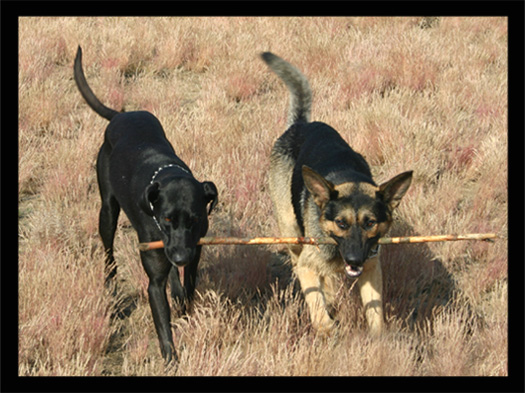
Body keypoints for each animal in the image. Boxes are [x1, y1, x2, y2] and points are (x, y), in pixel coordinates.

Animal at [72, 46, 216, 362]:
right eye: (166, 220)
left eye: (196, 219)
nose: (180, 257)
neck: (166, 172)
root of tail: (120, 117)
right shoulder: (155, 278)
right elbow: (163, 324)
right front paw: (171, 360)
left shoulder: (194, 249)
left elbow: (189, 286)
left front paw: (184, 306)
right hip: (107, 210)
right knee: (108, 251)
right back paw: (111, 286)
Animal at [260, 52, 412, 334]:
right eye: (341, 223)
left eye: (370, 223)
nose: (353, 258)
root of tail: (301, 124)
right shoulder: (308, 264)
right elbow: (317, 306)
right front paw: (327, 327)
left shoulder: (372, 267)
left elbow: (375, 313)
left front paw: (379, 338)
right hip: (290, 230)